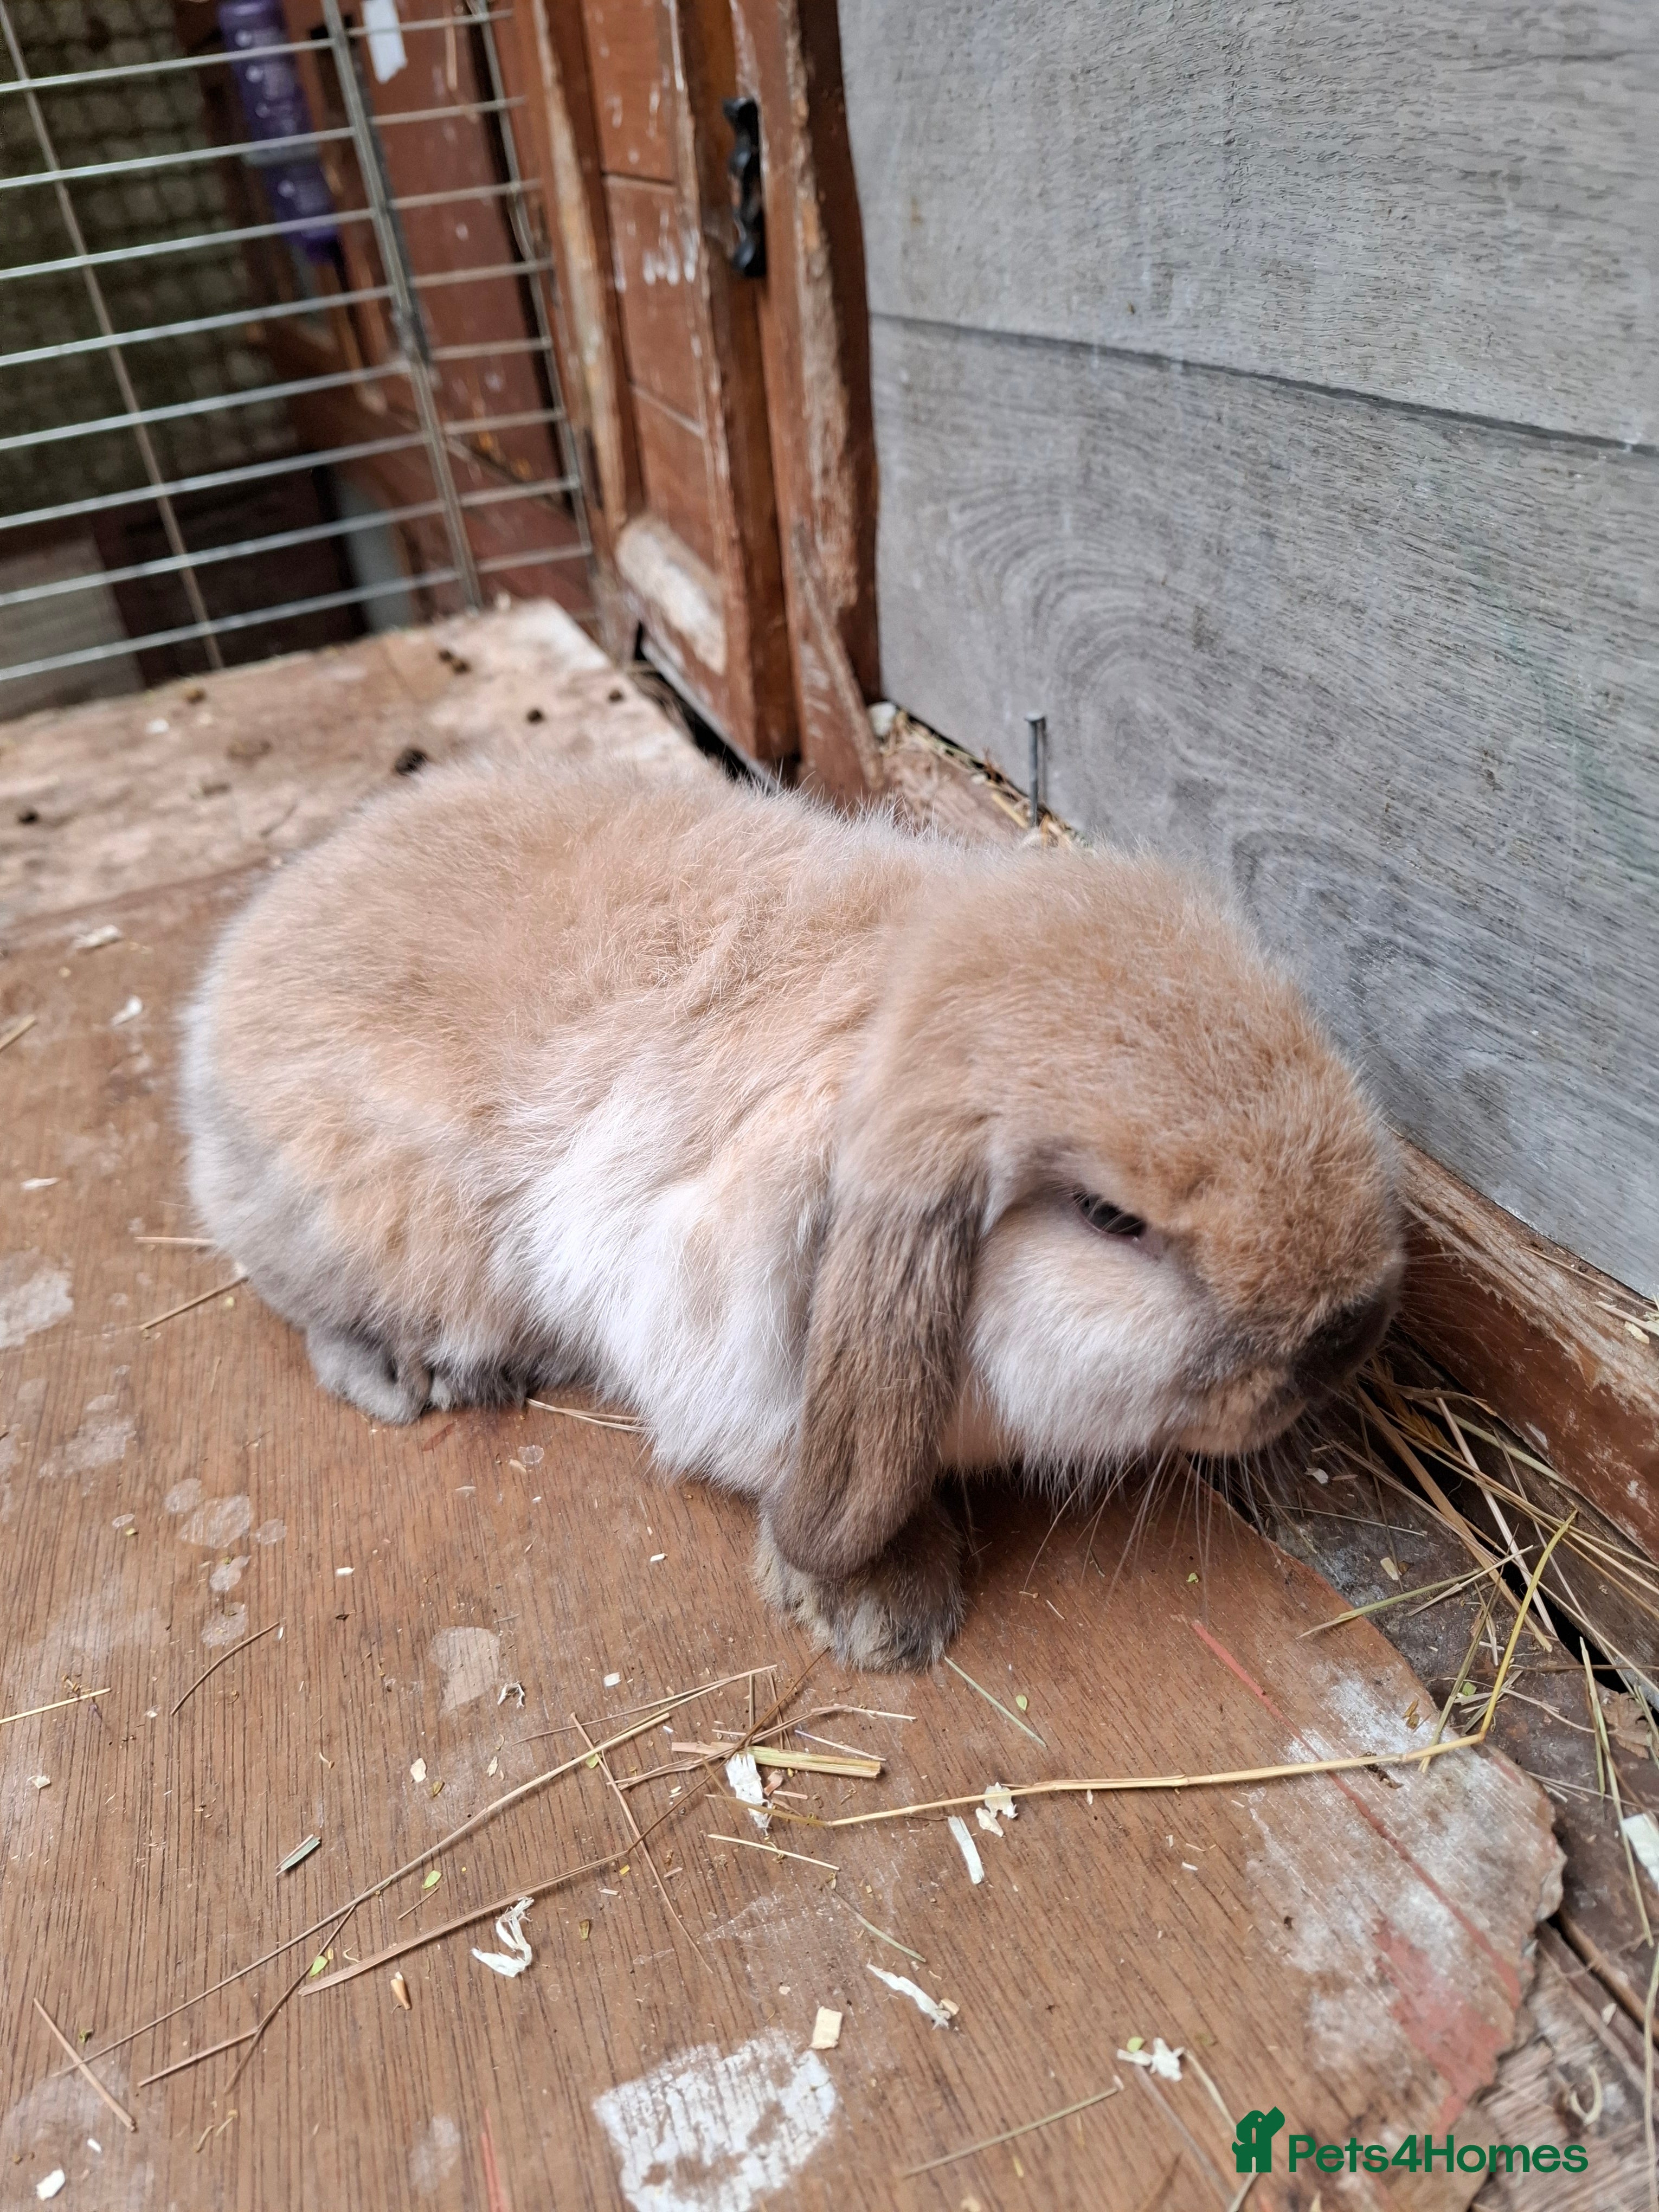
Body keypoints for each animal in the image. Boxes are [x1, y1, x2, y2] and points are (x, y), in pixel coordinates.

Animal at [181, 742, 1403, 1669]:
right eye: (1113, 1221)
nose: (1354, 1334)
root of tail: (225, 982)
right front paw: (884, 1615)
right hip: (369, 1227)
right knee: (314, 1314)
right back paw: (425, 1376)